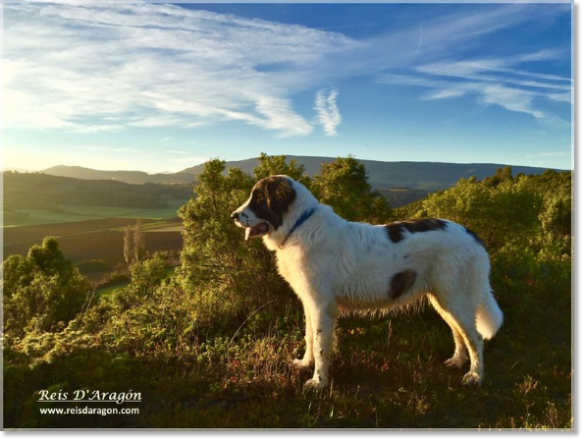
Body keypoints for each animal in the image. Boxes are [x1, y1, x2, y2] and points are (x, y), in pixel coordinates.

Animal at [232, 174, 502, 388]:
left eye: (259, 199)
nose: (233, 216)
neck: (299, 226)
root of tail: (472, 235)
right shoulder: (309, 303)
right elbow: (309, 338)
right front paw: (305, 364)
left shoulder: (321, 306)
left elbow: (320, 345)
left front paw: (319, 382)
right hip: (444, 300)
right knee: (459, 332)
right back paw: (457, 361)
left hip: (455, 299)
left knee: (475, 337)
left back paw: (475, 376)